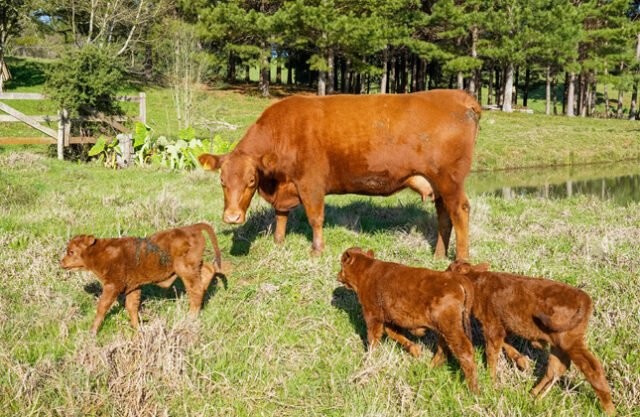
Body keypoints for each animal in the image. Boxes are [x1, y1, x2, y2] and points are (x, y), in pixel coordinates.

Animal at [60, 223, 223, 334]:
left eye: (71, 251)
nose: (61, 262)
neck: (100, 252)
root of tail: (191, 228)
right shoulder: (133, 287)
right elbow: (131, 307)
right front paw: (138, 329)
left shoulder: (112, 285)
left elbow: (102, 307)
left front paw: (92, 331)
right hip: (194, 266)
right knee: (209, 270)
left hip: (185, 269)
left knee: (195, 289)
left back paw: (191, 317)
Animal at [199, 89, 480, 260]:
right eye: (222, 181)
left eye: (251, 181)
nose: (232, 217)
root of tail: (458, 96)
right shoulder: (285, 187)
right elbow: (281, 215)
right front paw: (279, 242)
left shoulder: (310, 183)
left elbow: (315, 218)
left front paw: (316, 250)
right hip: (439, 183)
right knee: (444, 215)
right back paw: (438, 256)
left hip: (451, 179)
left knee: (460, 211)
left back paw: (461, 261)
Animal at [338, 247, 478, 392]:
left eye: (342, 264)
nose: (338, 275)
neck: (367, 271)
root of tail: (456, 278)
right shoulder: (389, 319)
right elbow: (393, 334)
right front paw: (416, 350)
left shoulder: (373, 316)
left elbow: (373, 340)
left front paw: (369, 360)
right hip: (443, 330)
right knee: (443, 349)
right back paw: (429, 368)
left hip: (451, 329)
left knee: (464, 351)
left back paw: (473, 390)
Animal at [447, 261, 614, 415]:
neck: (477, 282)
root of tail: (584, 297)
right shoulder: (502, 326)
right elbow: (505, 344)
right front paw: (522, 362)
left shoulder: (492, 325)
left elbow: (492, 354)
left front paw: (491, 380)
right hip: (558, 344)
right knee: (556, 368)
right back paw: (535, 395)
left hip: (570, 341)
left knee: (591, 368)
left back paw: (609, 409)